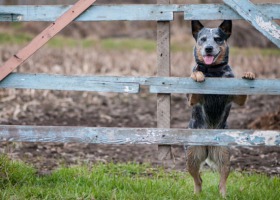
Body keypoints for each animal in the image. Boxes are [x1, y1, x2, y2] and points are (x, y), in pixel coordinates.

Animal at [186, 20, 256, 197]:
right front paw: (197, 74)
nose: (208, 48)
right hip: (192, 155)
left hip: (224, 155)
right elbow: (195, 75)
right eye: (203, 39)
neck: (214, 72)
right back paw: (197, 194)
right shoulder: (192, 100)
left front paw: (249, 73)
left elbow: (242, 93)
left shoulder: (237, 98)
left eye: (218, 39)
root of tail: (208, 144)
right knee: (198, 179)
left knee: (222, 181)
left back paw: (223, 195)